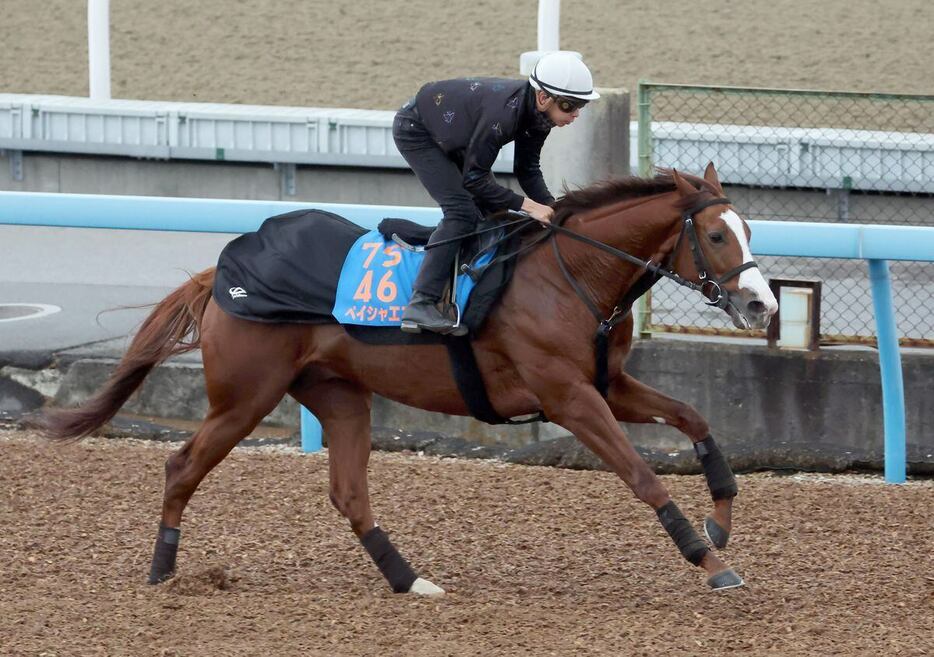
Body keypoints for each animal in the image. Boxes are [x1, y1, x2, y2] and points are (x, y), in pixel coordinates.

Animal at [33, 164, 780, 596]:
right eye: (717, 236)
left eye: (748, 227)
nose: (761, 305)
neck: (569, 273)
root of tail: (222, 272)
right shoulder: (568, 396)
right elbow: (643, 474)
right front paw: (707, 559)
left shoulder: (607, 384)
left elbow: (696, 420)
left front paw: (718, 523)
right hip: (245, 396)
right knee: (181, 464)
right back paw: (162, 568)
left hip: (338, 394)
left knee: (348, 493)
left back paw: (409, 579)